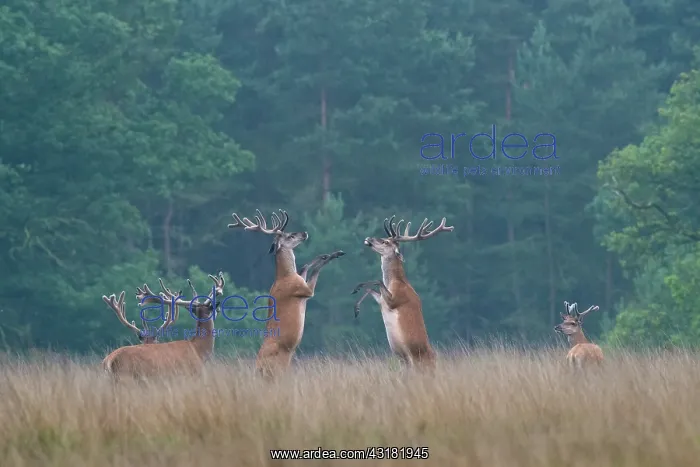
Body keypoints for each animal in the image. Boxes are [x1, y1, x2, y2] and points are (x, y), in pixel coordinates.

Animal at [228, 209, 345, 378]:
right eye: (290, 236)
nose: (304, 233)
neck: (286, 275)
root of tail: (258, 368)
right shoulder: (304, 290)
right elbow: (315, 269)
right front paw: (335, 254)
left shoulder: (301, 280)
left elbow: (305, 265)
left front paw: (333, 253)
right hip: (278, 369)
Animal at [352, 215, 453, 370]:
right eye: (384, 238)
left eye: (386, 242)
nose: (368, 238)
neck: (396, 282)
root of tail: (434, 360)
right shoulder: (382, 300)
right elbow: (371, 290)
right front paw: (356, 303)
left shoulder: (396, 299)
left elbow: (377, 281)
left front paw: (357, 290)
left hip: (416, 361)